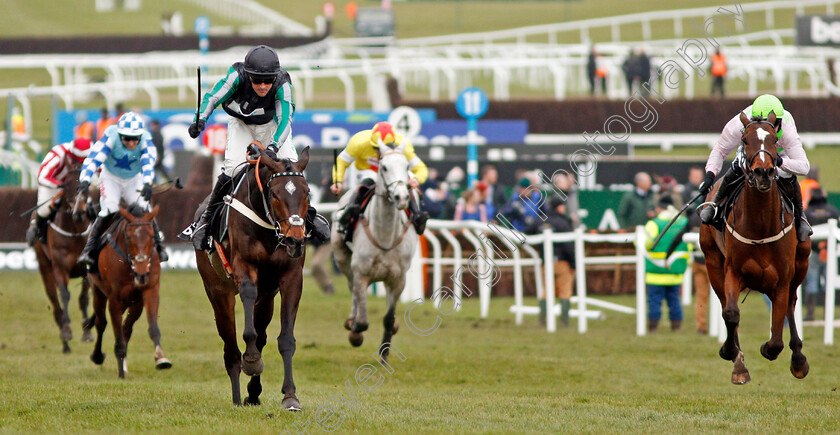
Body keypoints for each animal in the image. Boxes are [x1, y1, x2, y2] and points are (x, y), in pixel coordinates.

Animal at [33, 161, 94, 354]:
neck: (75, 233)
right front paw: (67, 331)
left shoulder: (86, 269)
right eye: (67, 186)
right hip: (45, 268)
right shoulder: (59, 268)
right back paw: (65, 344)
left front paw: (87, 332)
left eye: (86, 187)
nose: (79, 212)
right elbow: (65, 295)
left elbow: (83, 298)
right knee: (56, 305)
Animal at [85, 204, 172, 378]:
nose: (141, 274)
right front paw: (120, 372)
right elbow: (116, 333)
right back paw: (98, 356)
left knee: (127, 328)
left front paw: (161, 358)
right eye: (129, 238)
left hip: (135, 302)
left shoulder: (150, 290)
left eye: (153, 237)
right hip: (98, 292)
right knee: (101, 323)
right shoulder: (114, 299)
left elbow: (152, 327)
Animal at [198, 145, 312, 410]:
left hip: (266, 300)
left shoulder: (291, 277)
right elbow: (248, 326)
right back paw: (238, 397)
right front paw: (251, 360)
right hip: (219, 294)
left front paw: (290, 396)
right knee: (230, 348)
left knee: (261, 335)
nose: (295, 240)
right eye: (275, 194)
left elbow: (285, 339)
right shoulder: (244, 267)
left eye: (307, 193)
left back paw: (252, 393)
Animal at [700, 111, 812, 384]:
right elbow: (731, 313)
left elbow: (776, 339)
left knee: (791, 305)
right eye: (744, 139)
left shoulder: (782, 279)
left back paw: (798, 359)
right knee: (725, 305)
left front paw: (778, 351)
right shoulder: (732, 271)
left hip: (801, 265)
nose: (763, 172)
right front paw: (733, 357)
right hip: (712, 262)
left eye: (774, 139)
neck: (761, 225)